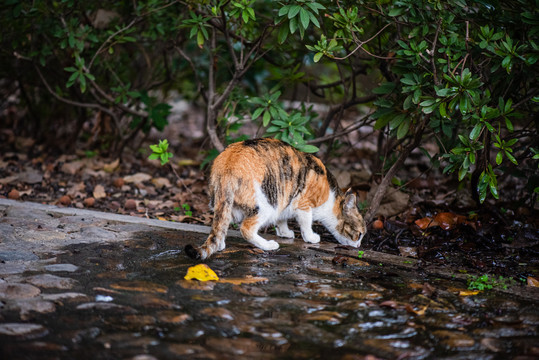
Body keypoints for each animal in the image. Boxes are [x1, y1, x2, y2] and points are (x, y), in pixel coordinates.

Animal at [186, 137, 368, 258]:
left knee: (221, 221)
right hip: (266, 204)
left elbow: (281, 219)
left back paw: (220, 243)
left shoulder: (285, 200)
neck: (331, 198)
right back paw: (268, 245)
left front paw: (285, 232)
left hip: (227, 201)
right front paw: (311, 237)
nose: (359, 245)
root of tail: (229, 163)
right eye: (359, 234)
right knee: (246, 228)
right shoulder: (303, 203)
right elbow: (306, 223)